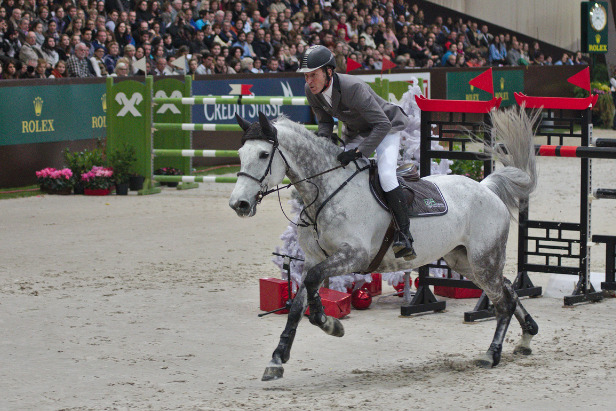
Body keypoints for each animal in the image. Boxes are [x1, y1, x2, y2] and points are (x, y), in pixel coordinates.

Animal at [230, 108, 540, 382]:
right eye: (240, 155)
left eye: (263, 154)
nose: (239, 204)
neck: (326, 192)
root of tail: (486, 188)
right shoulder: (313, 258)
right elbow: (298, 301)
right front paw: (277, 360)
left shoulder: (354, 256)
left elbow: (314, 281)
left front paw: (329, 323)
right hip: (463, 261)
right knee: (508, 288)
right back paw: (526, 337)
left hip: (483, 259)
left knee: (503, 301)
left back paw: (491, 354)